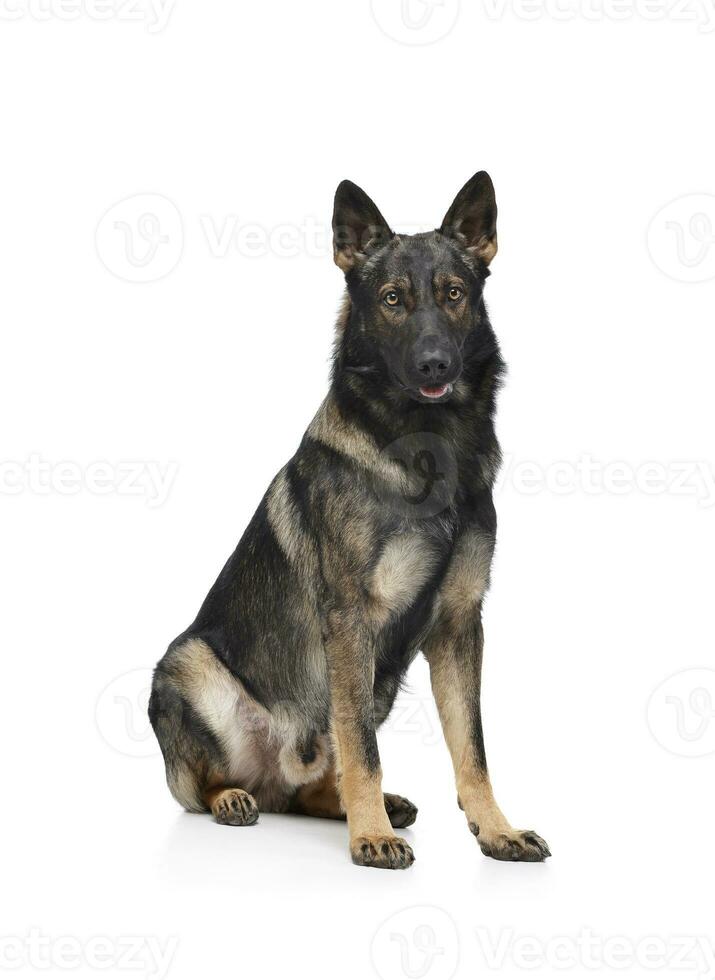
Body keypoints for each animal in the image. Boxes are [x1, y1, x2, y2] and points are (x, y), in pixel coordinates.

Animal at [148, 172, 552, 868]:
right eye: (392, 300)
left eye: (453, 294)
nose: (435, 364)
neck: (430, 447)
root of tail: (274, 777)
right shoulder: (350, 621)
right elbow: (364, 748)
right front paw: (370, 838)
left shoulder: (458, 625)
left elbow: (472, 749)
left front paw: (495, 829)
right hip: (188, 663)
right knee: (202, 785)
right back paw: (239, 798)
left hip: (379, 678)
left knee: (317, 781)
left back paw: (361, 805)